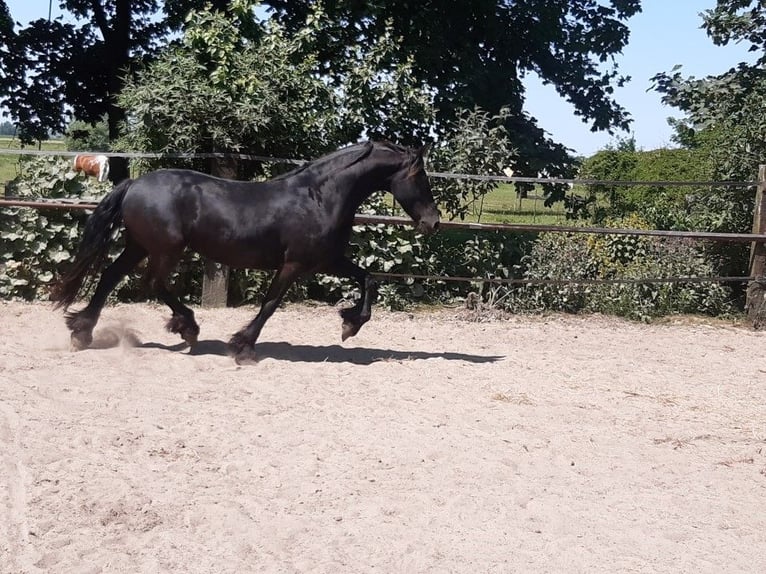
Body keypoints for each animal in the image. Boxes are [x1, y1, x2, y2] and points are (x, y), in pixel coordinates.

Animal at [51, 142, 440, 362]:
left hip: (140, 245)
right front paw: (242, 347)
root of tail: (133, 184)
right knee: (151, 283)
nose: (433, 222)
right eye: (420, 177)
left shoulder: (327, 260)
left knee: (111, 277)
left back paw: (82, 332)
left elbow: (368, 278)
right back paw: (187, 327)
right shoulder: (295, 263)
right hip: (165, 249)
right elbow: (269, 304)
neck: (320, 196)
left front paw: (349, 325)